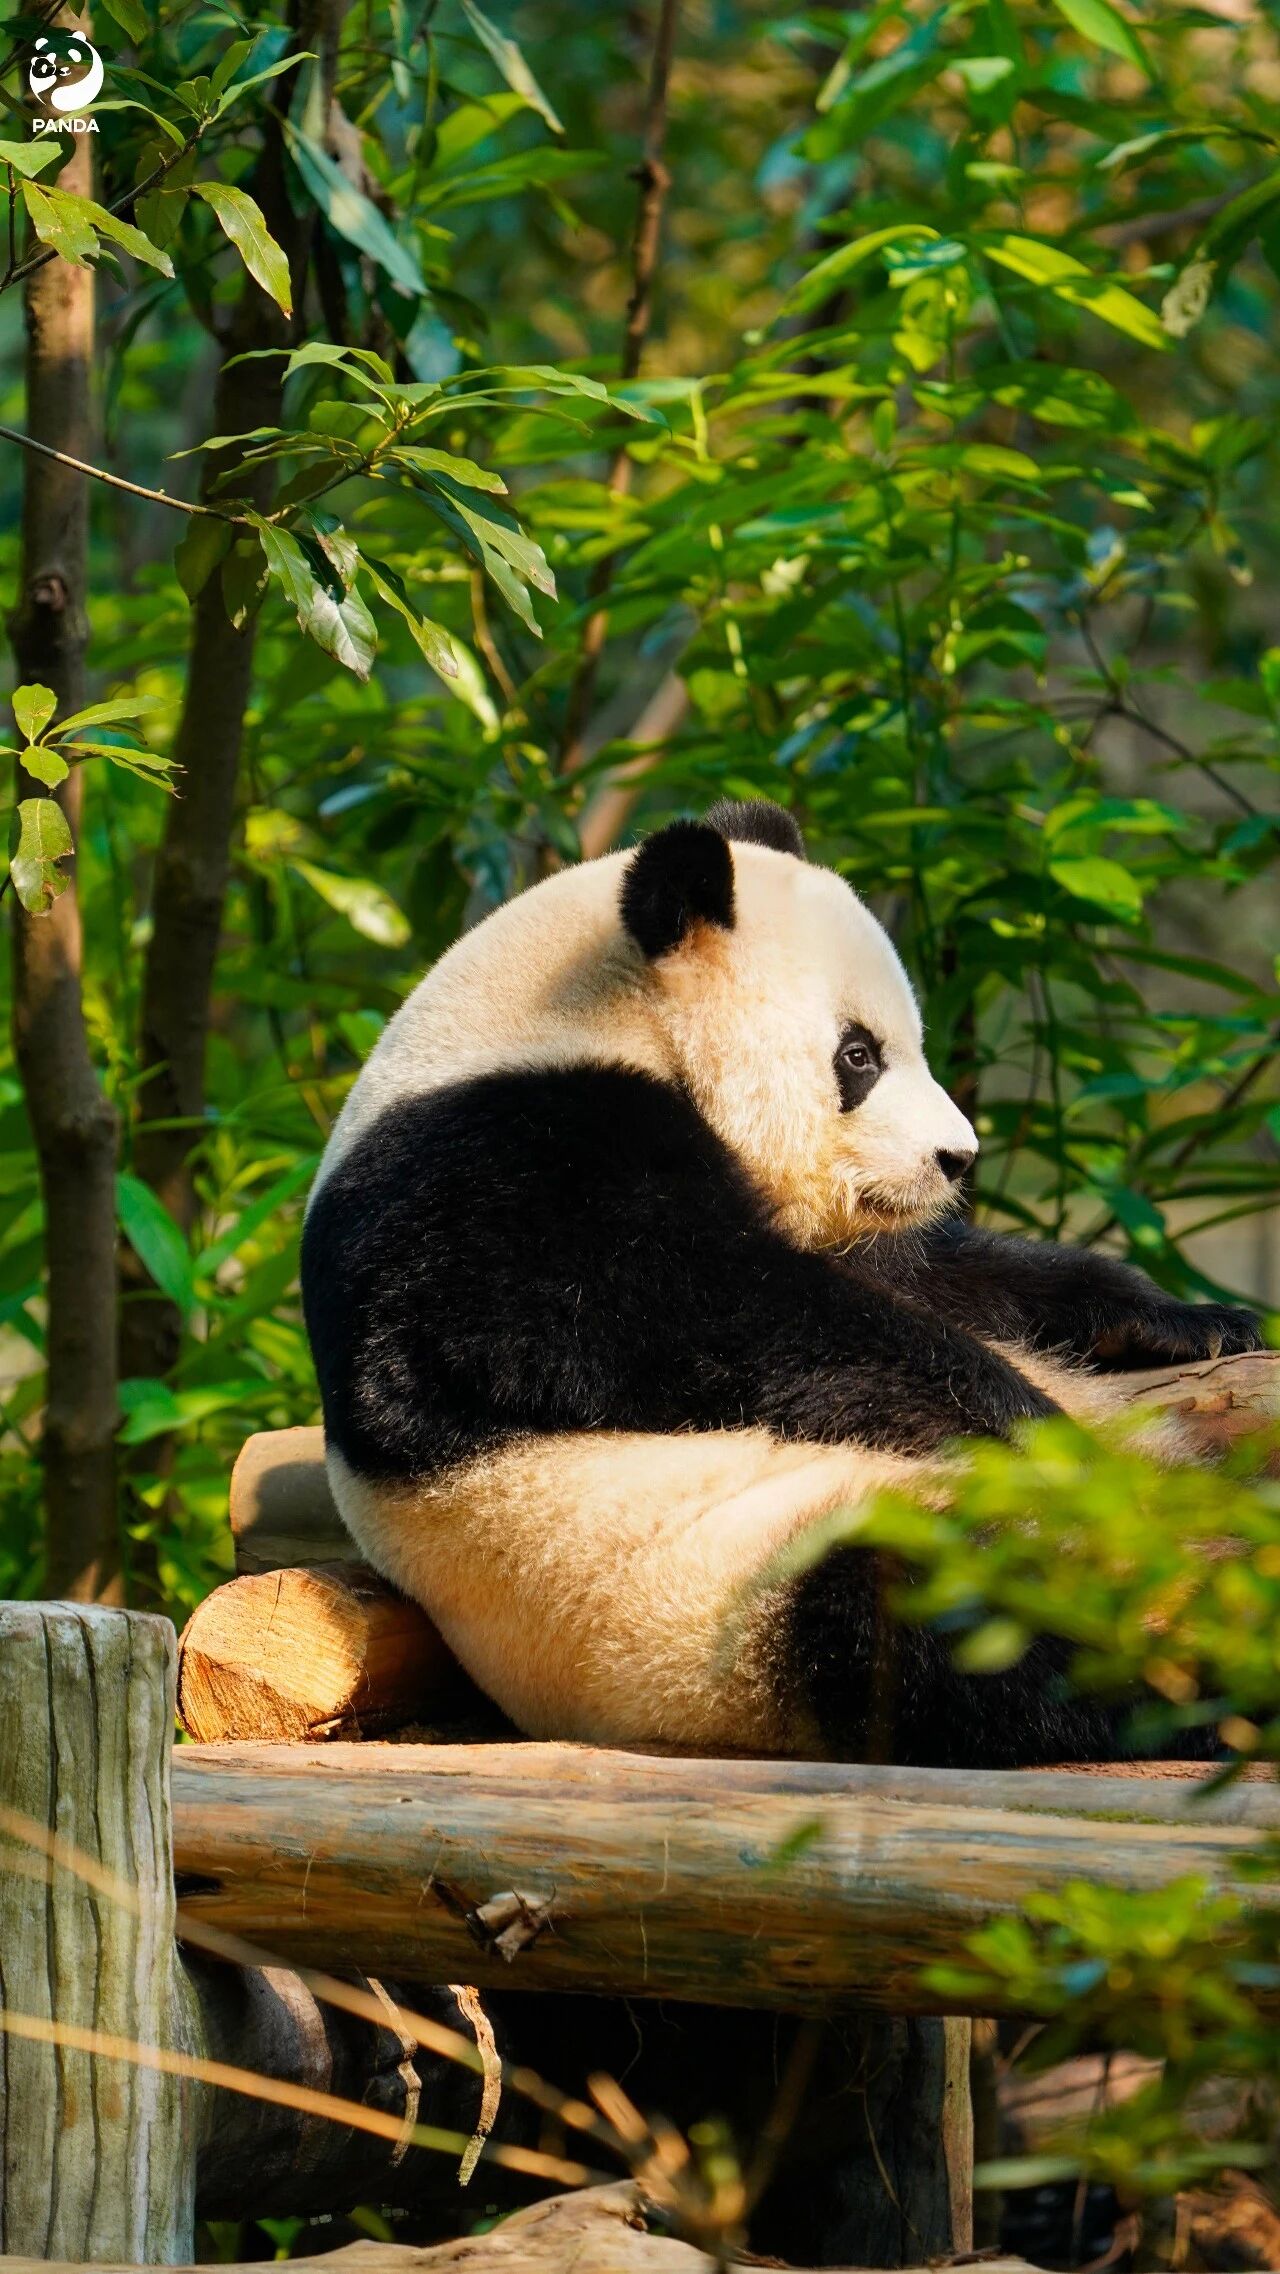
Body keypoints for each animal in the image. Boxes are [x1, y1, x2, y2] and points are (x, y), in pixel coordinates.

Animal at [301, 798, 1261, 1769]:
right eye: (859, 1056)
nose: (956, 1158)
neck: (583, 1019)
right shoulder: (490, 1177)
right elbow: (684, 1320)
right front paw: (1030, 1426)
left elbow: (941, 1275)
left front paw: (1187, 1320)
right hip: (744, 1578)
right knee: (934, 1622)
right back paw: (1209, 1678)